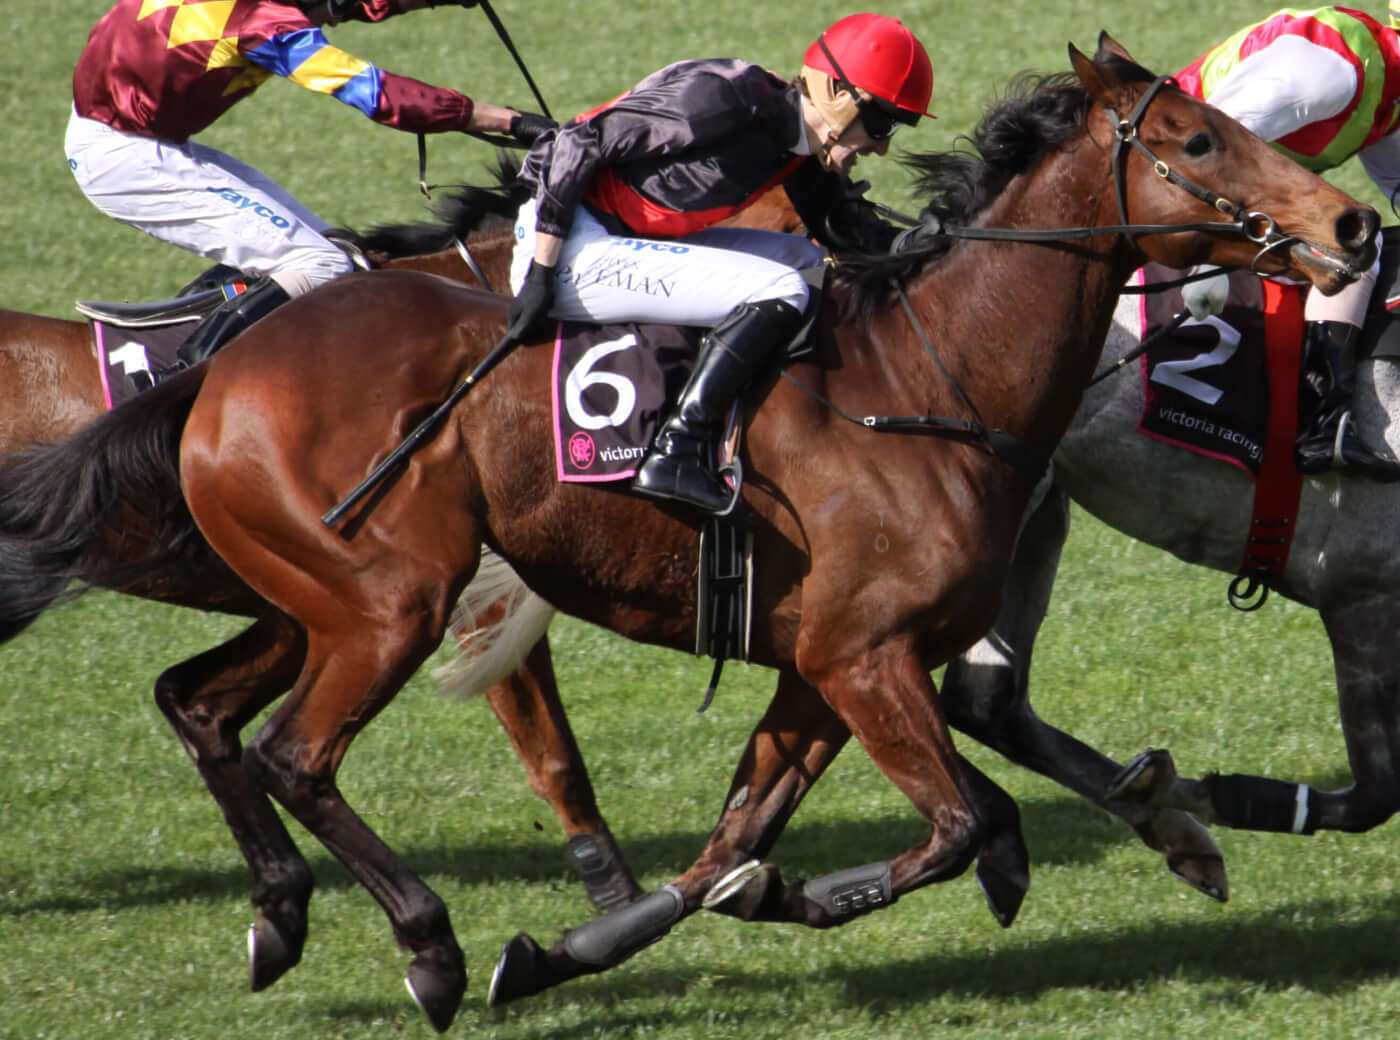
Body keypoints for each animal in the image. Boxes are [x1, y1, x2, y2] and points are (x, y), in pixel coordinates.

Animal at [0, 39, 1375, 1031]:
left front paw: (573, 944)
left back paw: (283, 917)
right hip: (389, 599)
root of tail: (224, 368)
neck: (931, 379)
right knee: (294, 753)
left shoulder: (822, 668)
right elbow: (958, 826)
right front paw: (805, 888)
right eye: (1198, 138)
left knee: (202, 707)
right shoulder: (864, 656)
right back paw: (425, 946)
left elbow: (741, 833)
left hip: (309, 600)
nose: (1352, 228)